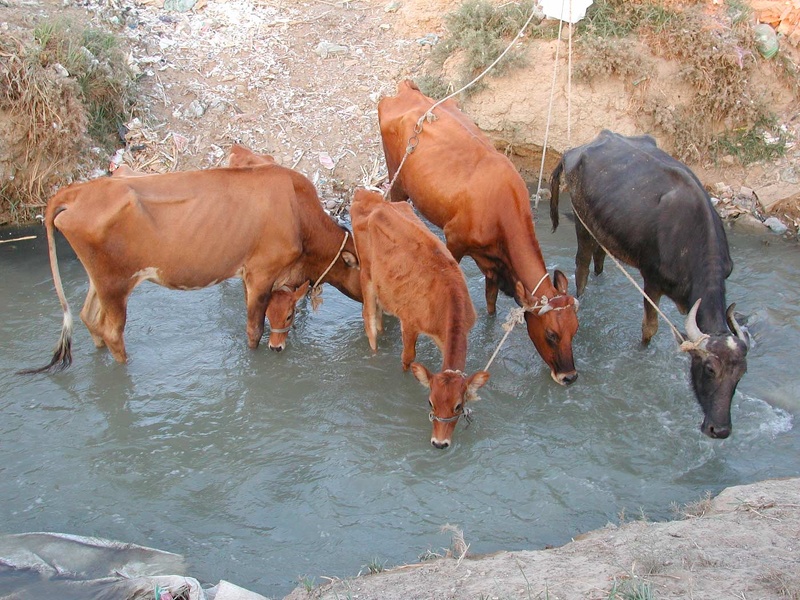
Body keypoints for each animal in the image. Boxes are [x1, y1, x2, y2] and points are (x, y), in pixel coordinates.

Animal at [24, 158, 362, 370]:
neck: (298, 215)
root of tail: (77, 191)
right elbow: (253, 330)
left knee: (88, 317)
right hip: (114, 284)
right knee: (112, 333)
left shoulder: (249, 276)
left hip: (100, 281)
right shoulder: (261, 274)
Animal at [354, 190, 490, 448]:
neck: (447, 300)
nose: (439, 443)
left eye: (458, 406)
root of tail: (370, 197)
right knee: (369, 318)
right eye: (430, 402)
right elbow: (408, 359)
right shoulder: (409, 323)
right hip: (366, 273)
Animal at [378, 78, 580, 384]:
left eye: (575, 329)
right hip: (396, 180)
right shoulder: (454, 241)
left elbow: (491, 305)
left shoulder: (492, 264)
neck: (502, 207)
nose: (569, 376)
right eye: (551, 334)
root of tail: (406, 90)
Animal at [552, 129, 752, 438]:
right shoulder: (651, 281)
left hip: (602, 231)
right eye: (709, 369)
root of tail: (577, 149)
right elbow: (649, 329)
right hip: (581, 225)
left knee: (599, 259)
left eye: (740, 374)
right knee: (581, 267)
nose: (719, 429)